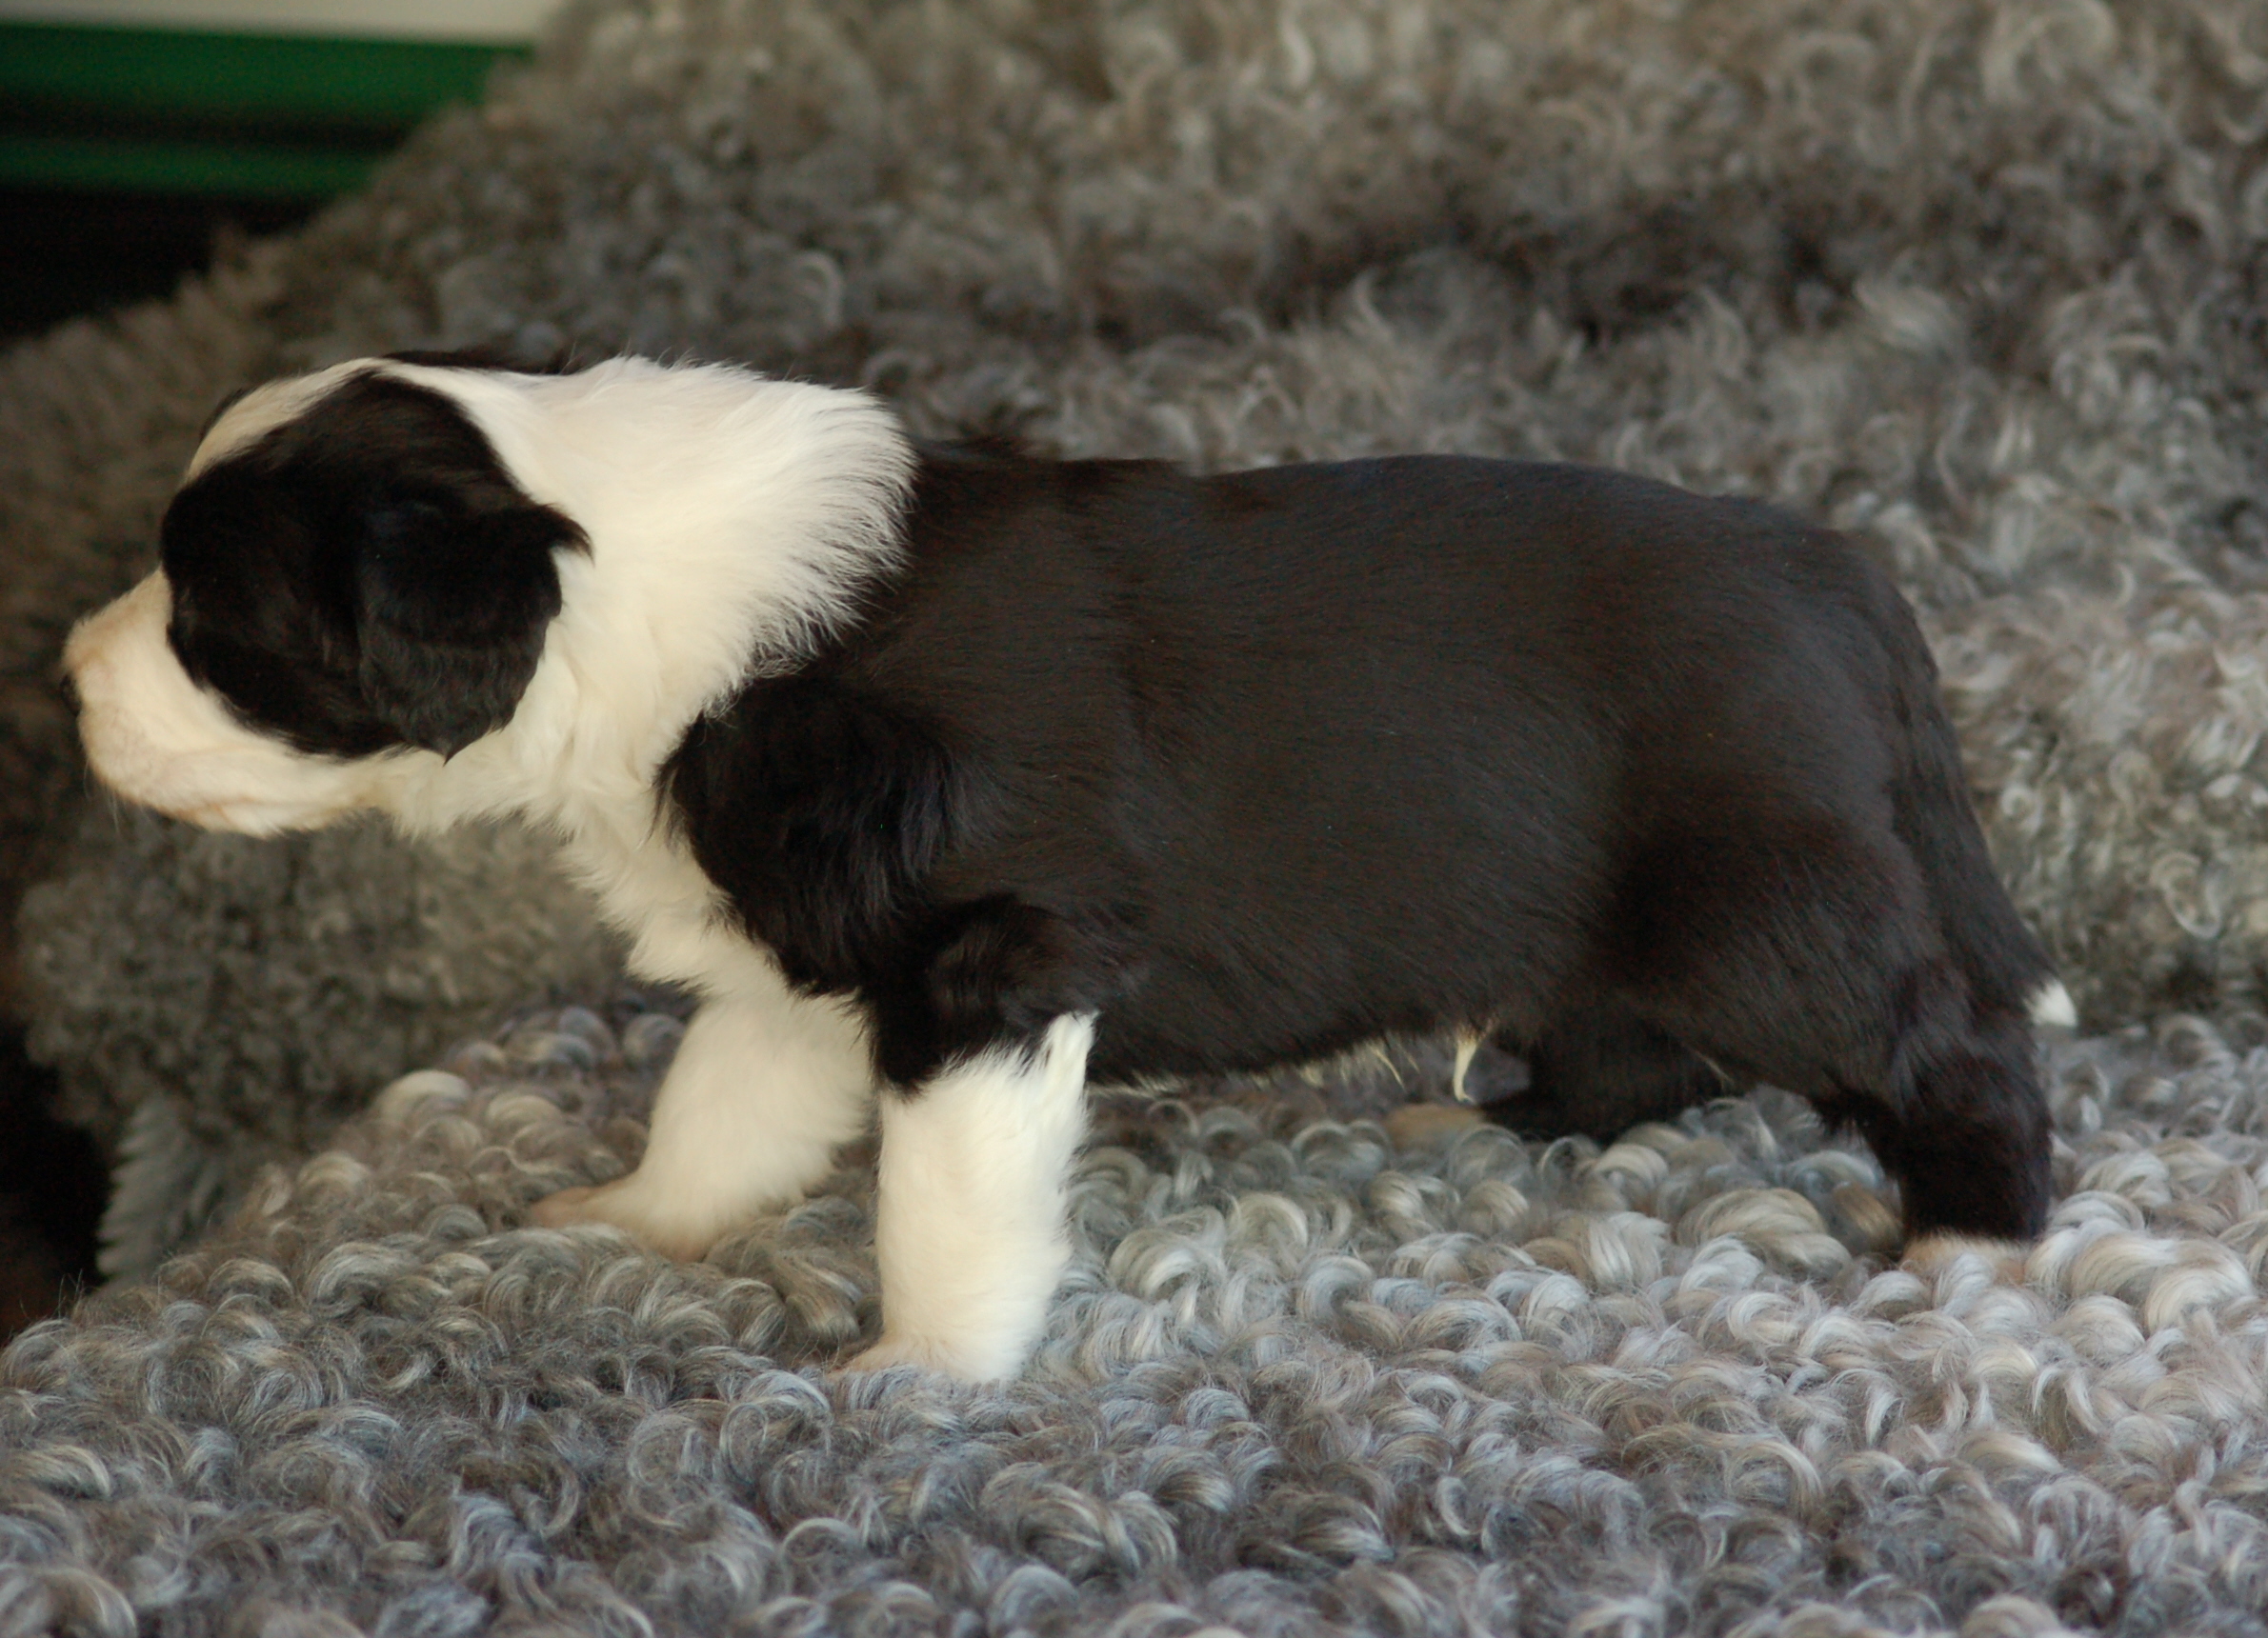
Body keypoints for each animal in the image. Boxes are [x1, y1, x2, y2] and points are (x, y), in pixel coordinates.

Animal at [65, 352, 2072, 1379]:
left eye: (208, 618)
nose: (70, 680)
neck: (613, 571)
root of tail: (1845, 573)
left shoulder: (988, 962)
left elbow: (944, 1201)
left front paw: (923, 1379)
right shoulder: (804, 954)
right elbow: (719, 1106)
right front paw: (632, 1228)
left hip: (1761, 902)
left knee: (1940, 1033)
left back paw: (1973, 1248)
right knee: (1644, 1051)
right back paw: (1492, 1125)